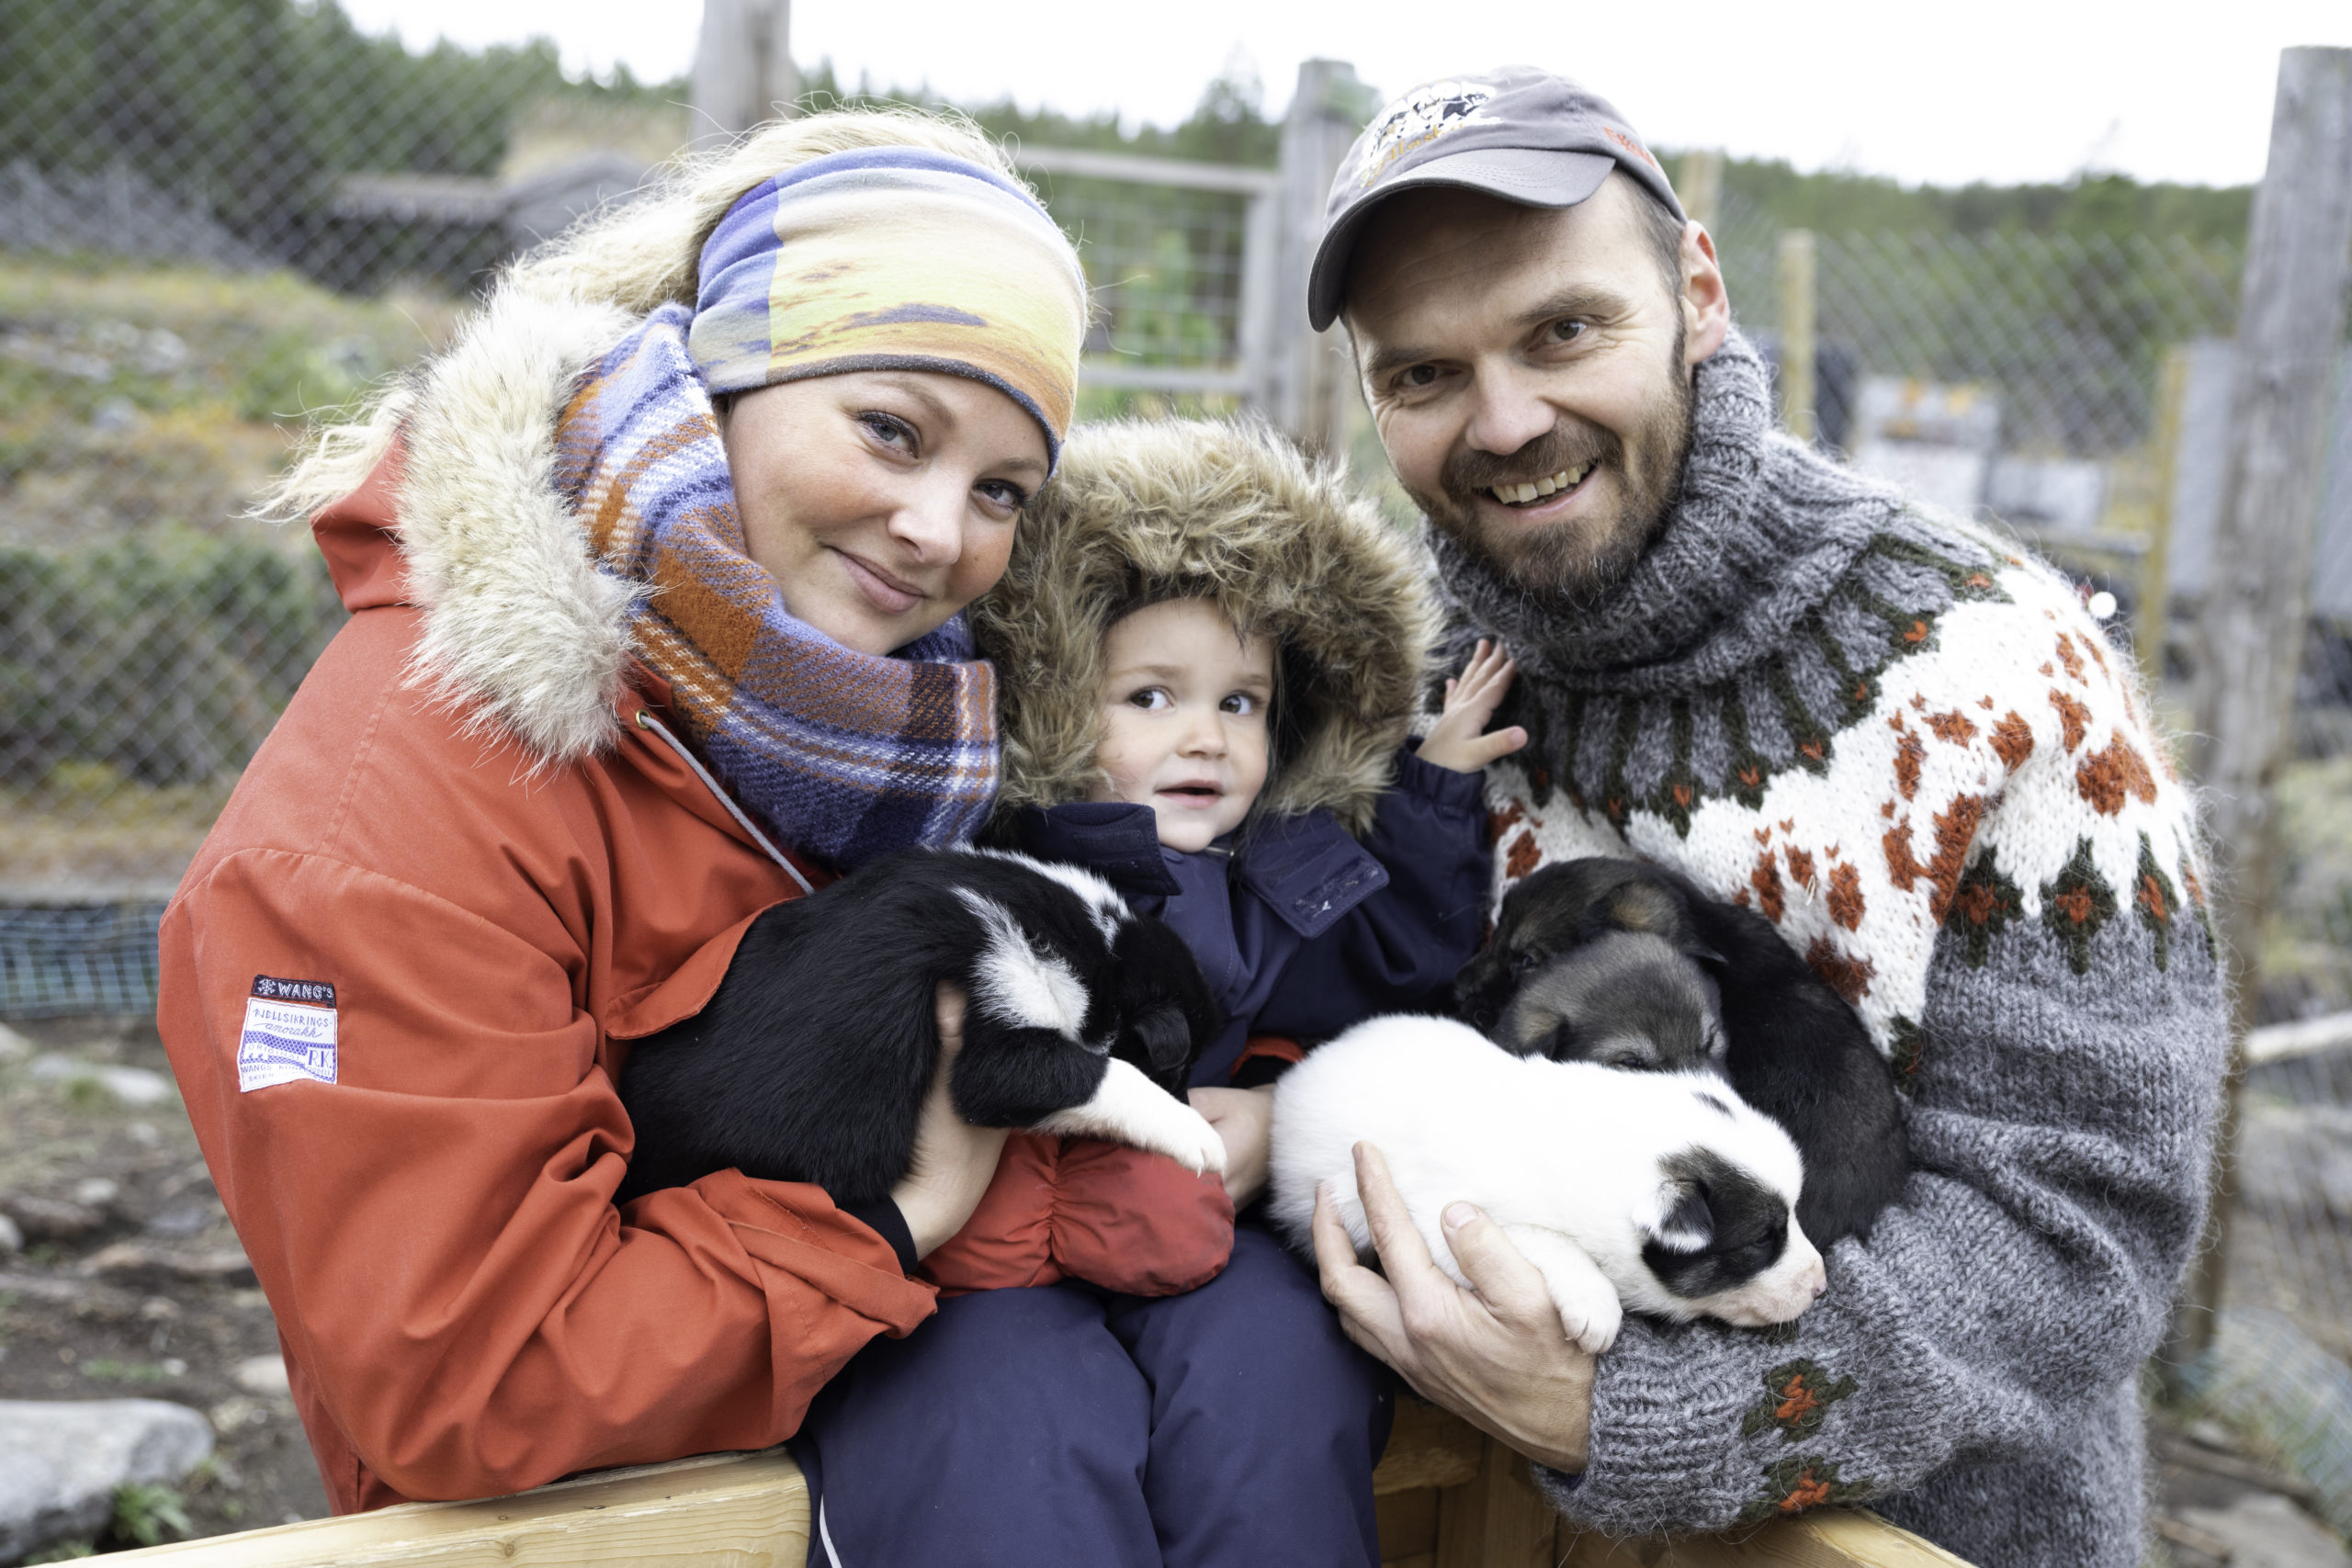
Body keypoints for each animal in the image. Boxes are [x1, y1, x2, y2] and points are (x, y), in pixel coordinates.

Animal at [616, 846, 1223, 1203]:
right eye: (1179, 1069)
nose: (1193, 1098)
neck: (1101, 944)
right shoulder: (1001, 1028)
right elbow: (1106, 1075)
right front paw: (1197, 1135)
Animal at [1270, 1020, 1834, 1354]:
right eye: (1763, 1239)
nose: (1822, 1284)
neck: (1605, 1145)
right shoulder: (1443, 1217)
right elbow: (1552, 1241)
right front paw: (1597, 1307)